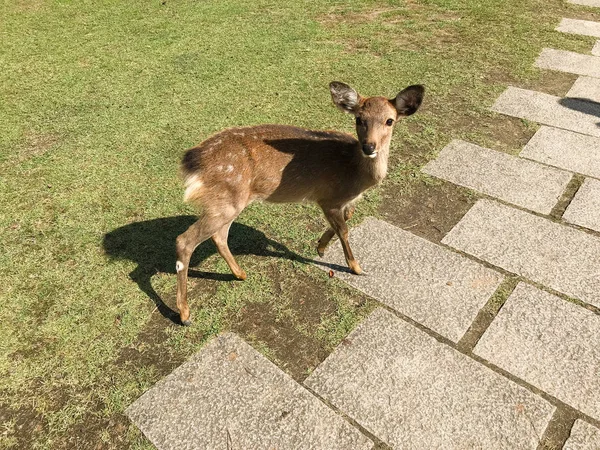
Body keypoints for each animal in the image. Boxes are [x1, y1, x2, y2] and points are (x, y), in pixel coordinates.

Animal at [176, 82, 424, 326]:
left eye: (390, 120)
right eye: (358, 119)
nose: (369, 147)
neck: (356, 174)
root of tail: (193, 162)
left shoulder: (342, 202)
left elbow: (345, 219)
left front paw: (321, 247)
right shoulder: (329, 198)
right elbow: (344, 229)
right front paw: (356, 268)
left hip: (229, 202)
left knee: (219, 236)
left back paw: (240, 274)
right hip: (227, 199)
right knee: (185, 240)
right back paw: (185, 314)